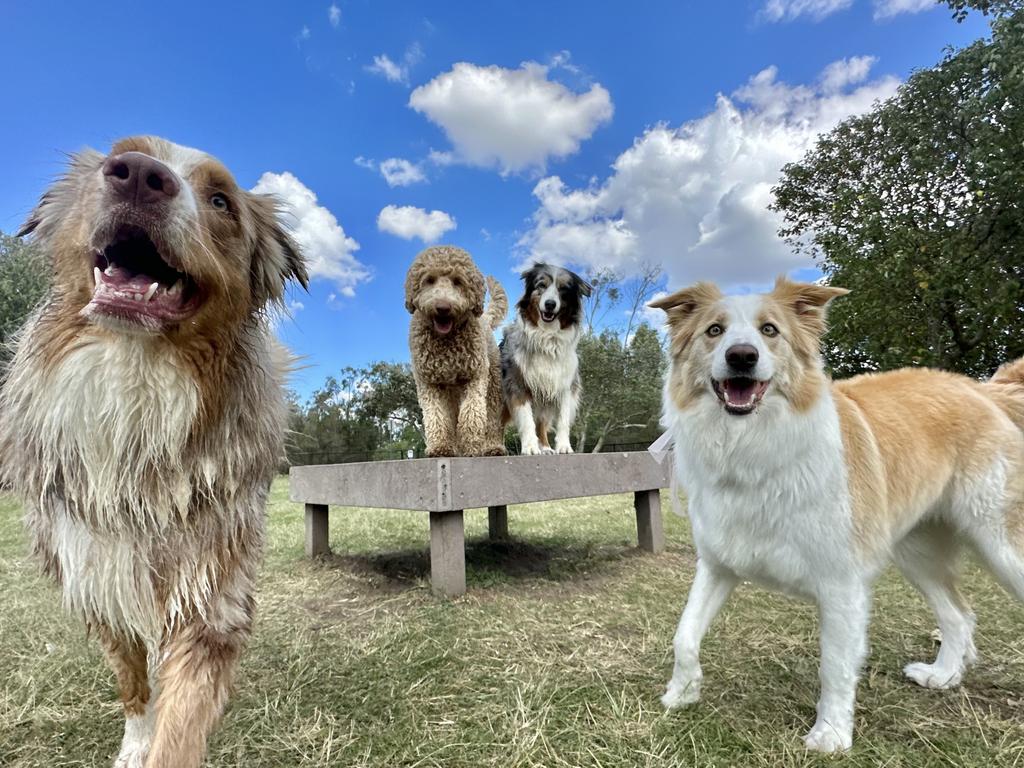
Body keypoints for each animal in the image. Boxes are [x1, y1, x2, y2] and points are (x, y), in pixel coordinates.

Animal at [2, 138, 309, 768]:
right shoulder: (98, 577)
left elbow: (181, 722)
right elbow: (133, 680)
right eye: (123, 156)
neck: (134, 381)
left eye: (221, 201)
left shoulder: (210, 593)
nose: (140, 176)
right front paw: (134, 743)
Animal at [403, 246, 507, 456]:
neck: (447, 340)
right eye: (429, 280)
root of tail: (486, 318)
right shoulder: (429, 382)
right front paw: (440, 447)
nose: (443, 307)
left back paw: (493, 447)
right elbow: (436, 416)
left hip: (493, 382)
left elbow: (472, 413)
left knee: (492, 416)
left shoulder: (474, 375)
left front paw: (472, 446)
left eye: (458, 281)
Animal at [497, 264, 589, 456]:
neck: (547, 337)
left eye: (563, 289)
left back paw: (546, 447)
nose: (550, 304)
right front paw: (530, 447)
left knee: (541, 422)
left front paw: (563, 446)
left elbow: (562, 420)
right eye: (541, 286)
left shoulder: (563, 385)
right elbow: (526, 420)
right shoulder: (518, 384)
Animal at [651, 276, 1024, 753]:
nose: (742, 356)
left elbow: (835, 666)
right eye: (714, 331)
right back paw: (941, 676)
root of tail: (978, 388)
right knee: (958, 615)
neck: (754, 447)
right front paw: (681, 693)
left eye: (769, 330)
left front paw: (830, 734)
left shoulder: (841, 585)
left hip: (1000, 544)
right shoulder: (719, 564)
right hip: (916, 552)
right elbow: (684, 635)